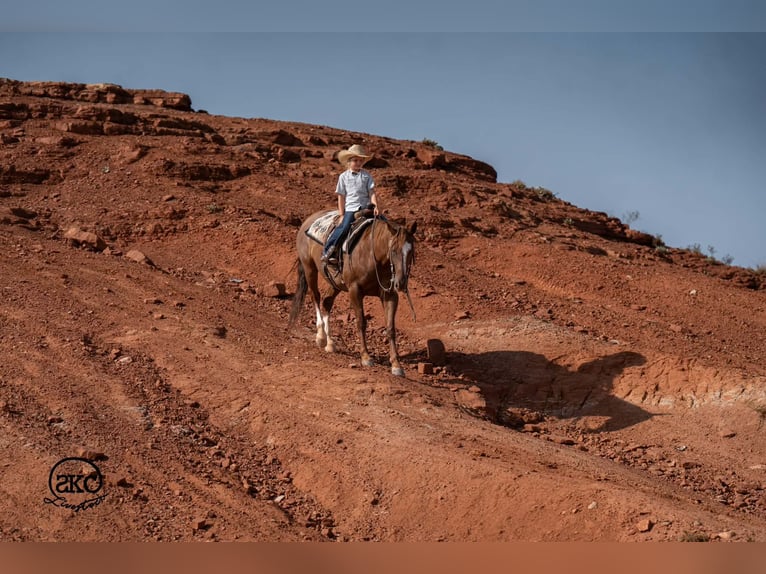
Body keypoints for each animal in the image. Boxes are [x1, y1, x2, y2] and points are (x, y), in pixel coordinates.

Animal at [289, 210, 417, 376]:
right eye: (393, 250)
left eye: (411, 251)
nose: (400, 283)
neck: (373, 255)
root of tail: (309, 220)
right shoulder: (355, 290)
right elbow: (361, 322)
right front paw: (366, 357)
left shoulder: (390, 295)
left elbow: (390, 328)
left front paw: (396, 365)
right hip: (309, 268)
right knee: (315, 296)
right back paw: (321, 337)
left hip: (335, 282)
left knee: (327, 302)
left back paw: (330, 343)